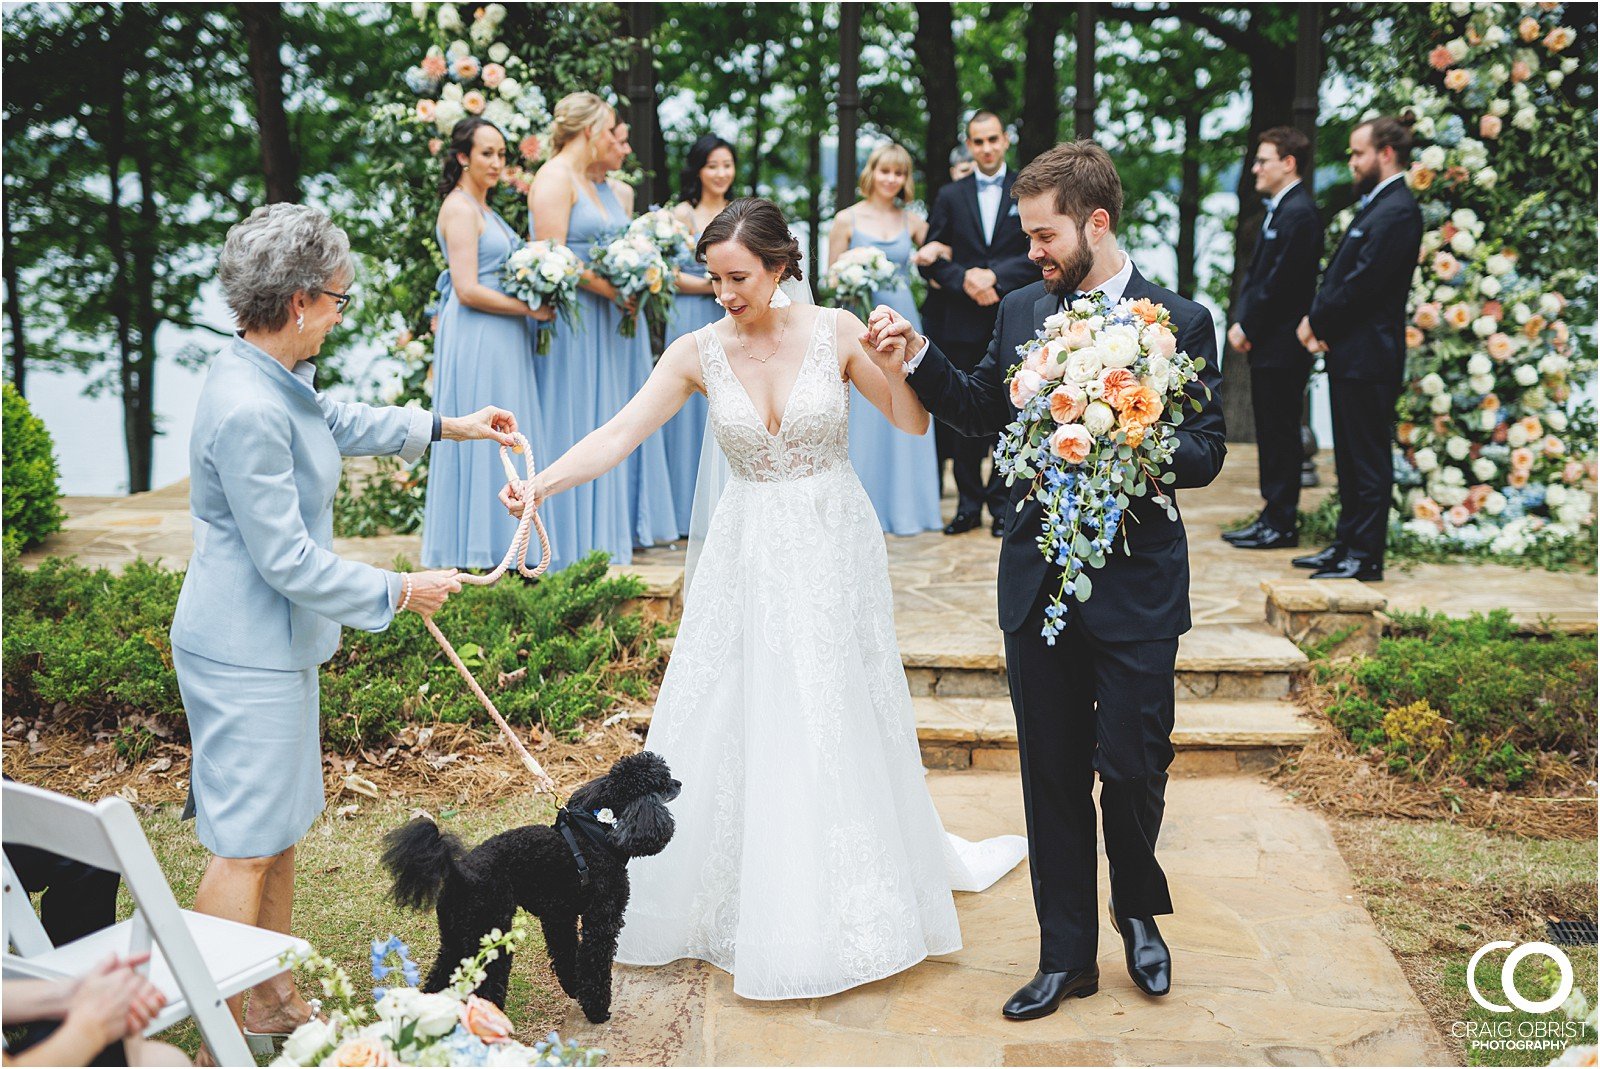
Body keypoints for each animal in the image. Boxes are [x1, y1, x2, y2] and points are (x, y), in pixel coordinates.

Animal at [388, 748, 688, 1024]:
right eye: (662, 781)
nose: (680, 783)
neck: (600, 832)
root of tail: (459, 872)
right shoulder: (602, 916)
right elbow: (594, 962)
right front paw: (597, 1010)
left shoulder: (559, 915)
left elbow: (566, 952)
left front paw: (574, 989)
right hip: (489, 936)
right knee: (486, 988)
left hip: (456, 937)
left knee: (439, 978)